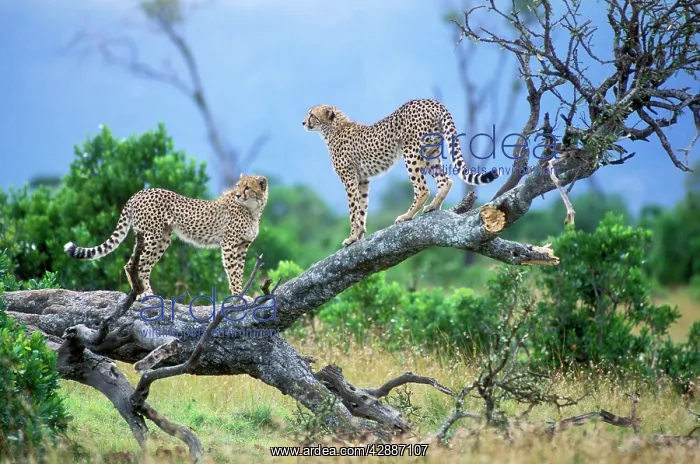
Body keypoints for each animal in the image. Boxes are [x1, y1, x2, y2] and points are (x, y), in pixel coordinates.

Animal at [64, 174, 268, 301]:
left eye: (247, 187)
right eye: (238, 186)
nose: (237, 195)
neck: (253, 209)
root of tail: (141, 192)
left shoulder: (242, 246)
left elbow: (239, 271)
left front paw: (241, 294)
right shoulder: (229, 245)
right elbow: (234, 272)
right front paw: (238, 296)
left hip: (161, 238)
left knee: (140, 265)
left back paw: (145, 293)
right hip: (151, 236)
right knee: (134, 264)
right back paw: (142, 293)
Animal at [302, 98, 500, 247]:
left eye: (312, 114)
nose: (303, 122)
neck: (333, 129)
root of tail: (432, 101)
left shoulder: (349, 178)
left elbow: (353, 210)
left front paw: (351, 237)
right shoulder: (363, 179)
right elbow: (362, 209)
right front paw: (358, 235)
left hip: (411, 153)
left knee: (422, 188)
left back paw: (407, 216)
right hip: (431, 153)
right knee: (445, 180)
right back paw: (433, 206)